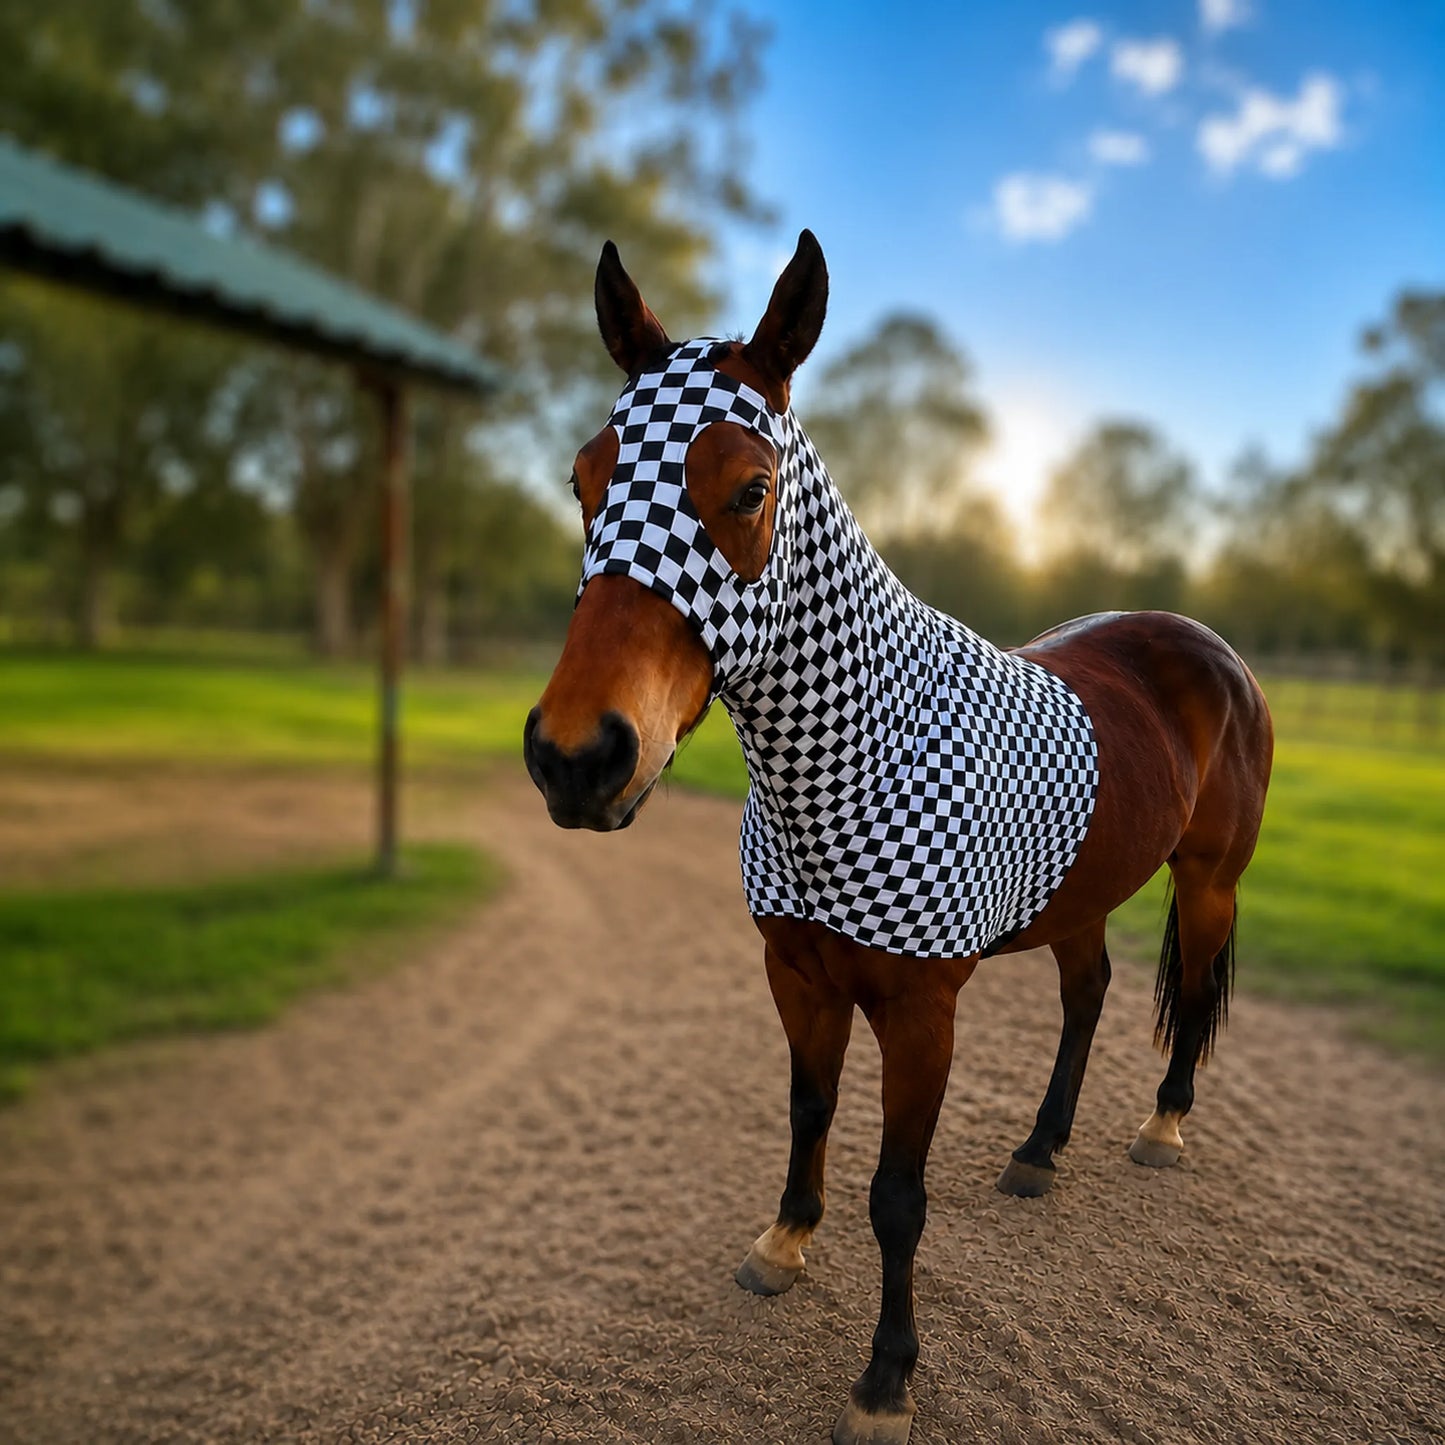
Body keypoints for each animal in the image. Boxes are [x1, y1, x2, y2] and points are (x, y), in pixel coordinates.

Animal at [523, 230, 1273, 1445]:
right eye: (584, 482)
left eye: (750, 487)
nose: (576, 755)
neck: (865, 745)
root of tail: (1206, 648)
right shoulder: (797, 975)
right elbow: (808, 1107)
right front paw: (782, 1242)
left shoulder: (921, 1012)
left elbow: (897, 1195)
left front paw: (884, 1379)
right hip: (1078, 892)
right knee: (1086, 994)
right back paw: (1037, 1150)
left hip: (1207, 880)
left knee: (1193, 988)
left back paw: (1160, 1128)